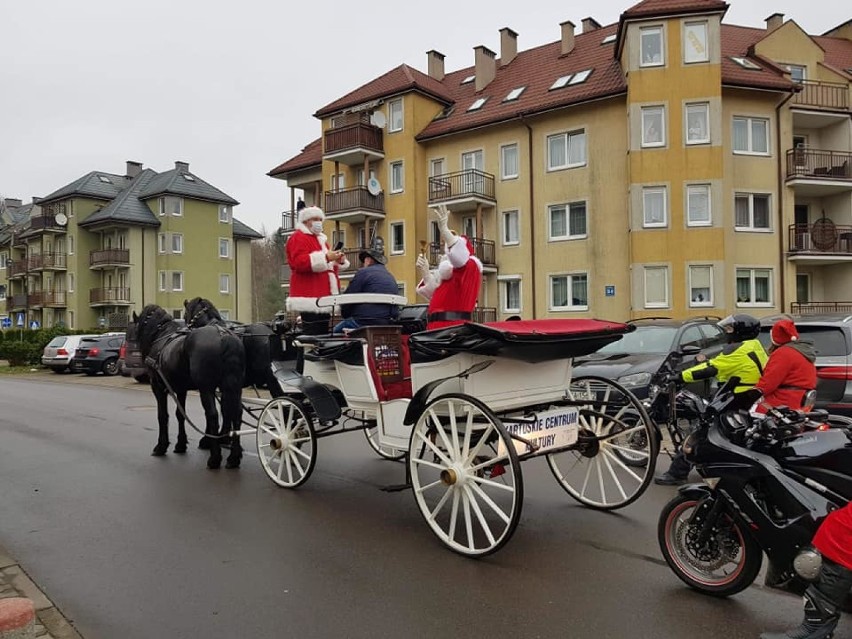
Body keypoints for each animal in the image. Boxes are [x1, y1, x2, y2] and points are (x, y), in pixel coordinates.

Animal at [129, 304, 246, 470]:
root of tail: (223, 335)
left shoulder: (157, 387)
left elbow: (163, 416)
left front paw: (161, 446)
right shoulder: (181, 389)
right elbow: (180, 414)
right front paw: (180, 444)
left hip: (206, 388)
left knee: (213, 415)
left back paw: (215, 458)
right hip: (233, 387)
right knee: (236, 414)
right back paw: (233, 458)